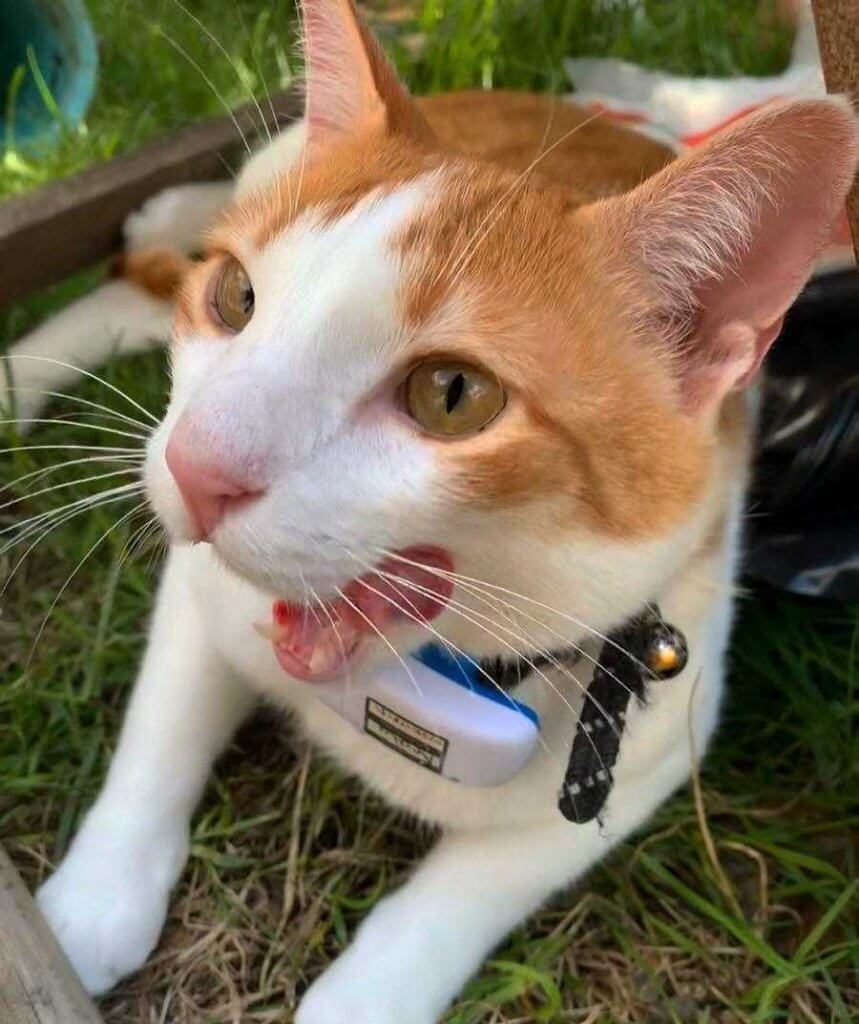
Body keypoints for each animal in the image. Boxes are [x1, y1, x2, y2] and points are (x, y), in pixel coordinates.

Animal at [3, 4, 855, 1019]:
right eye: (237, 297)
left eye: (451, 394)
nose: (195, 468)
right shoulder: (202, 593)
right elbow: (160, 729)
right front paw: (93, 905)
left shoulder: (646, 745)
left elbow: (454, 900)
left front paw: (359, 998)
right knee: (137, 283)